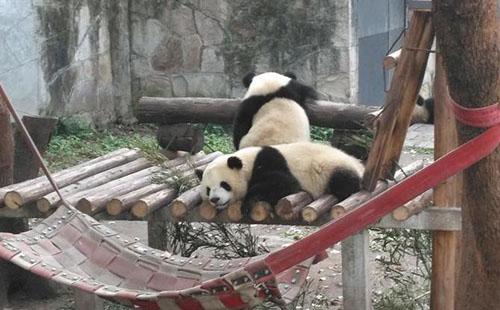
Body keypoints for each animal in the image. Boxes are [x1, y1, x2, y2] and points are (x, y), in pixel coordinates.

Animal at [197, 142, 366, 217]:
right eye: (208, 189)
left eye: (224, 184)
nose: (215, 199)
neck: (247, 163)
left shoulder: (270, 162)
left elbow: (286, 184)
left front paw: (247, 203)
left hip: (333, 168)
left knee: (343, 182)